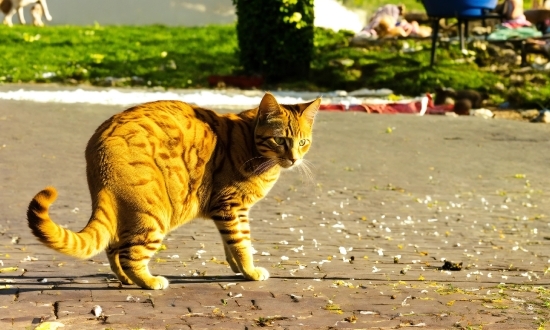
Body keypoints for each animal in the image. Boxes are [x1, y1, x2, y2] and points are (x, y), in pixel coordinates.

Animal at [28, 92, 322, 288]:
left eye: (303, 142)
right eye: (280, 140)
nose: (294, 159)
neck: (250, 144)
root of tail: (97, 147)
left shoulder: (230, 211)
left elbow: (231, 246)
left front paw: (238, 269)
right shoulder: (232, 207)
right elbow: (241, 244)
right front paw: (249, 272)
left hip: (125, 215)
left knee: (113, 249)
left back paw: (125, 279)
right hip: (154, 215)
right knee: (130, 255)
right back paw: (149, 281)